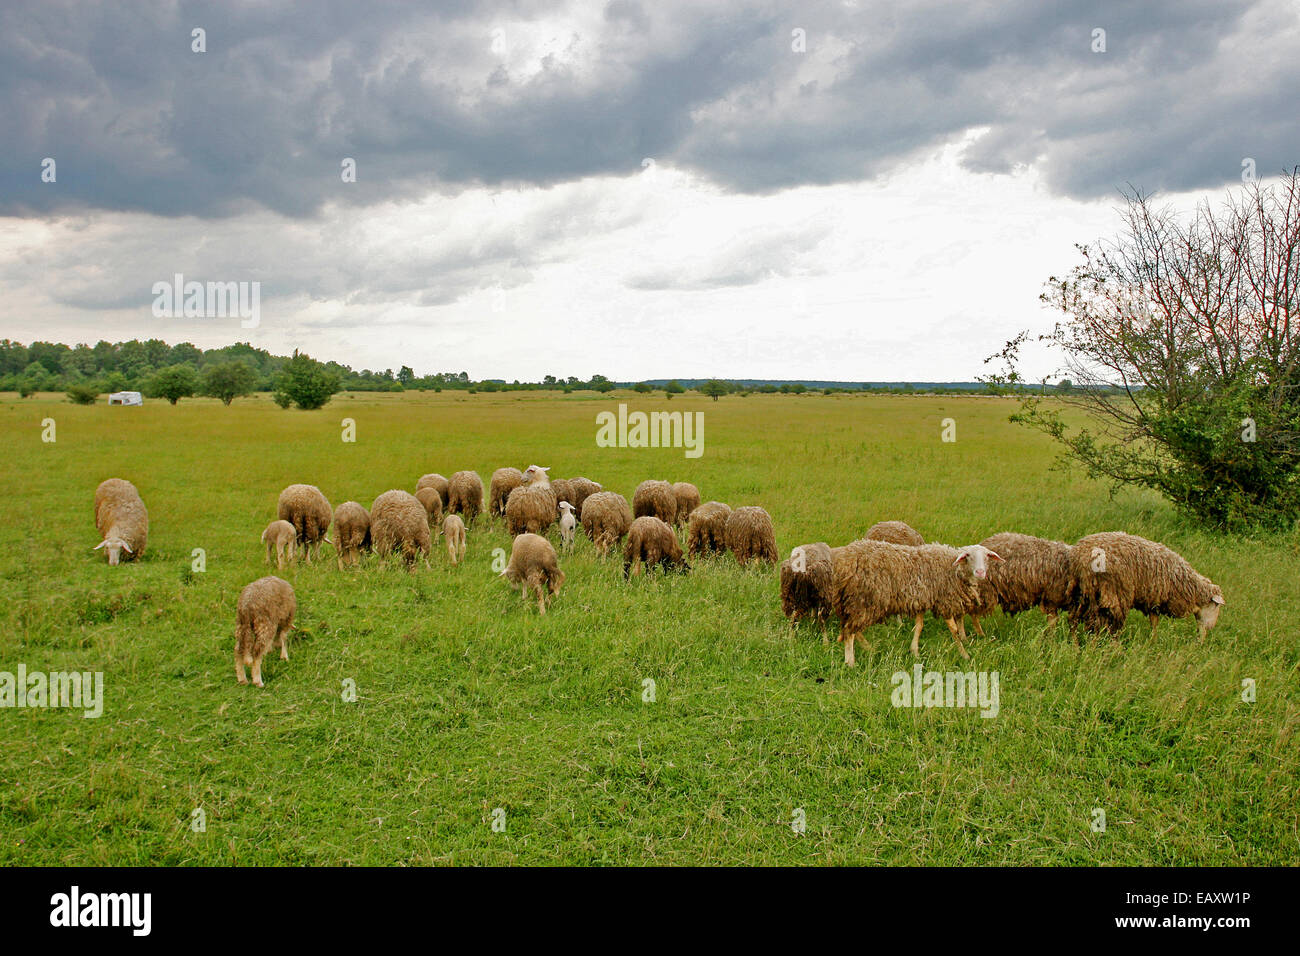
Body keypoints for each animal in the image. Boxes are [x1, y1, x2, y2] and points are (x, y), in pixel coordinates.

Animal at [830, 540, 1002, 665]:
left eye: (987, 556)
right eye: (968, 556)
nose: (980, 572)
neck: (954, 569)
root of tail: (844, 561)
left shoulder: (921, 600)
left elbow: (919, 627)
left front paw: (915, 652)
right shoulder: (944, 601)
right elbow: (954, 631)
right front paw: (965, 655)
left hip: (855, 602)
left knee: (851, 628)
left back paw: (869, 649)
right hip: (865, 600)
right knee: (850, 631)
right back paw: (850, 662)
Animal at [1070, 532, 1225, 640]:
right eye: (1216, 606)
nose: (1211, 627)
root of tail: (1080, 555)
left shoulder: (1153, 600)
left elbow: (1154, 623)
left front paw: (1153, 641)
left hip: (1081, 593)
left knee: (1074, 619)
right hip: (1112, 595)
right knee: (1100, 623)